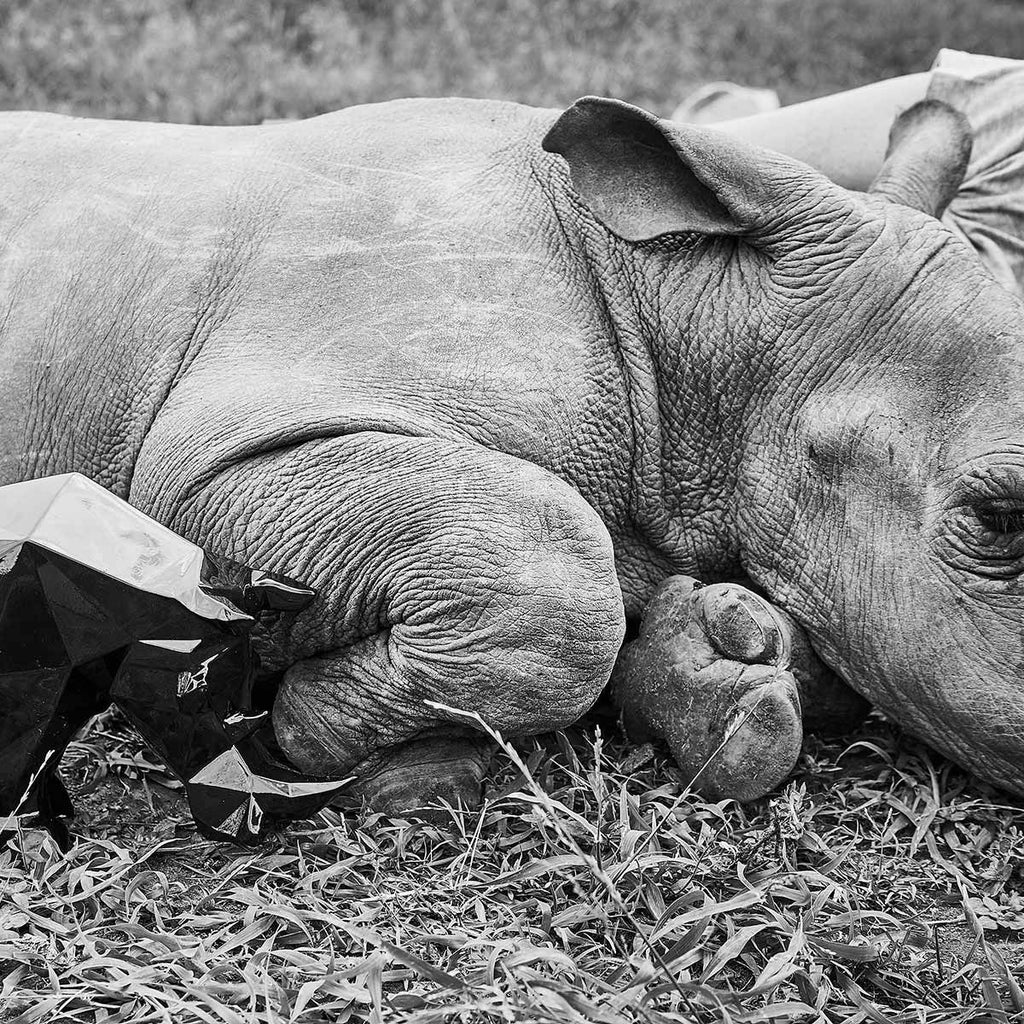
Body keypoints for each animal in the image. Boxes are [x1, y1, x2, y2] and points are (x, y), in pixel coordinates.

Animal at [0, 92, 1019, 810]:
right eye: (1000, 519)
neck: (698, 310)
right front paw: (323, 730)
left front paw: (717, 682)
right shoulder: (212, 456)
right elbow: (558, 575)